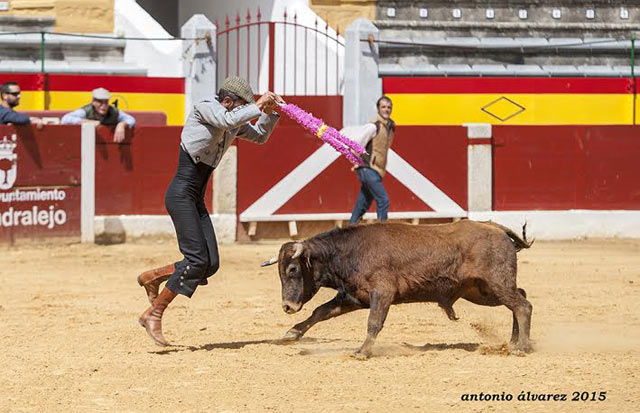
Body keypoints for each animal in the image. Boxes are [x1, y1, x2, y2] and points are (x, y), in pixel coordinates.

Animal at [262, 219, 532, 358]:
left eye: (292, 269)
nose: (287, 306)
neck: (348, 251)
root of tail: (495, 228)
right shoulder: (354, 297)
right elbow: (321, 311)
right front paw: (292, 333)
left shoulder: (382, 293)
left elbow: (374, 322)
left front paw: (362, 351)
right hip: (482, 291)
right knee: (521, 298)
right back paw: (513, 341)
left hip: (495, 283)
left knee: (522, 306)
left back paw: (522, 347)